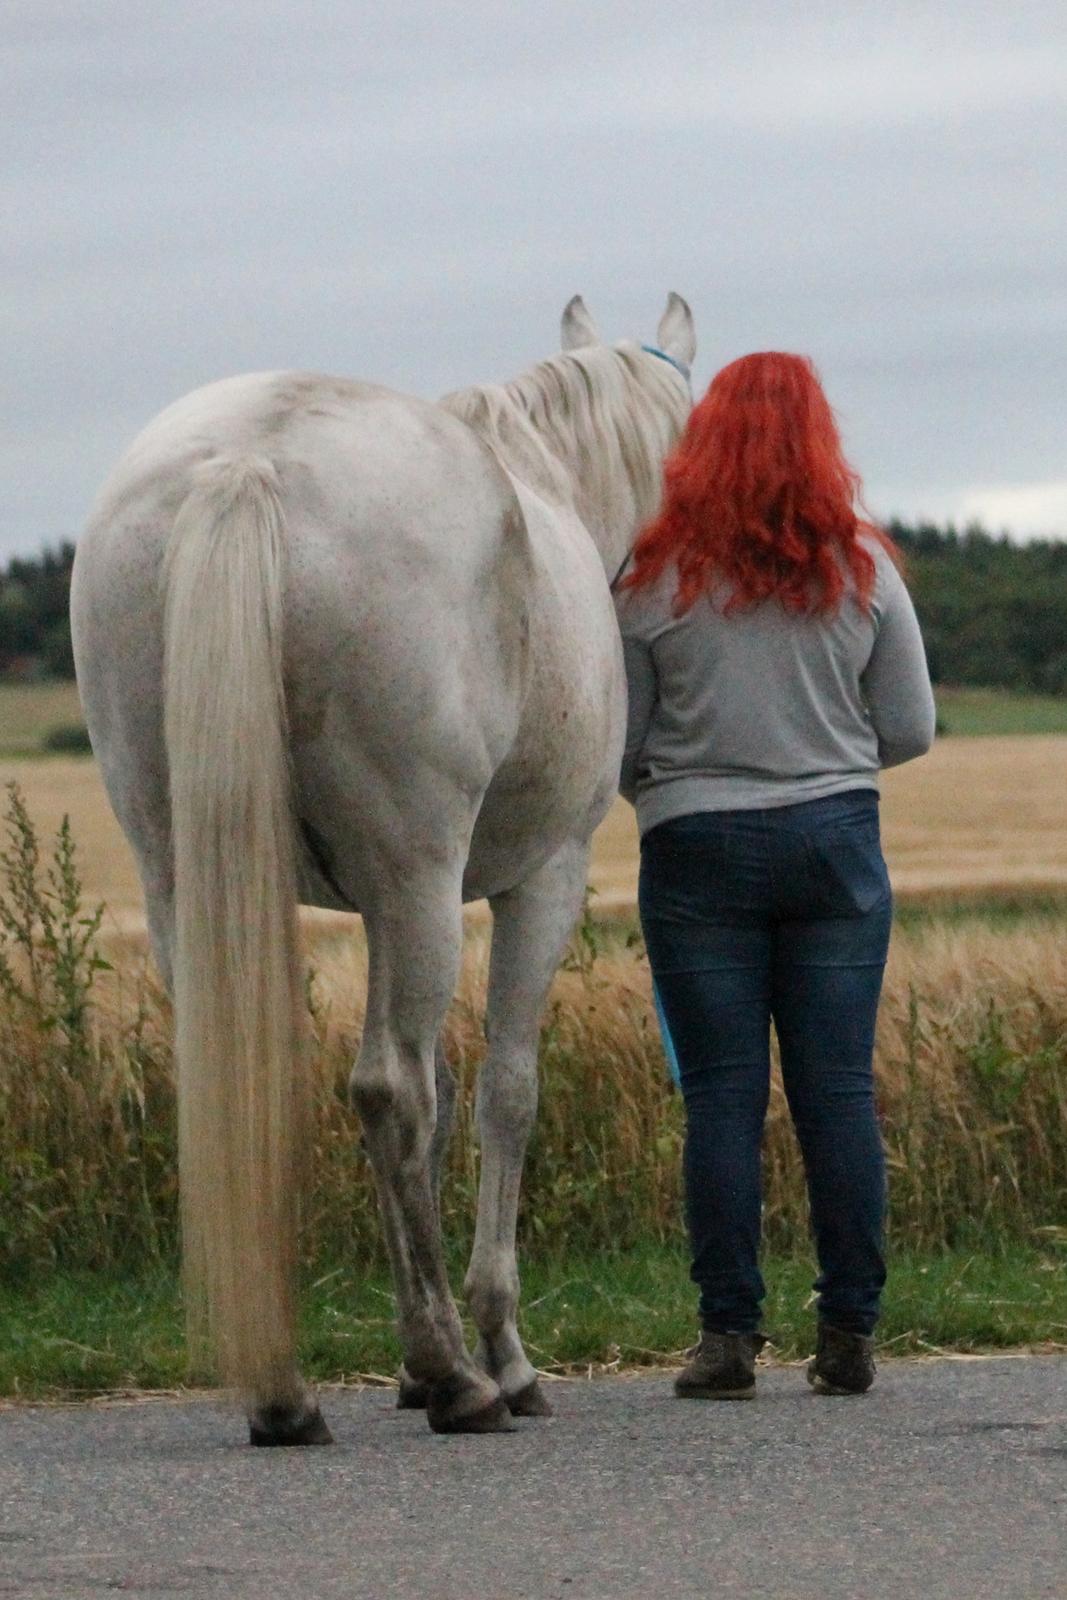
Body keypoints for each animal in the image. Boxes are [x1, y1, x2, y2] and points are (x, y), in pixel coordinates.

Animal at [70, 294, 697, 1446]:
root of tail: (249, 461)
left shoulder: (375, 910)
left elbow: (444, 1101)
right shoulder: (535, 881)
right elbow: (498, 1093)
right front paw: (498, 1350)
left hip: (189, 875)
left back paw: (289, 1394)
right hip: (420, 874)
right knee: (387, 1090)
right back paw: (459, 1378)